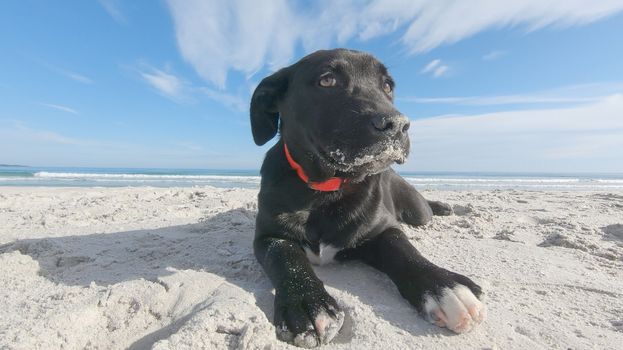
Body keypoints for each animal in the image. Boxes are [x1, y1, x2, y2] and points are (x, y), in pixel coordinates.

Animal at [251, 48, 486, 348]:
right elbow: (285, 257)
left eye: (387, 86)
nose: (398, 125)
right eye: (327, 80)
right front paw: (308, 303)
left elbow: (404, 250)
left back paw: (443, 206)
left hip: (418, 211)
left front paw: (445, 287)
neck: (325, 191)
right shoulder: (268, 236)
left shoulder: (383, 229)